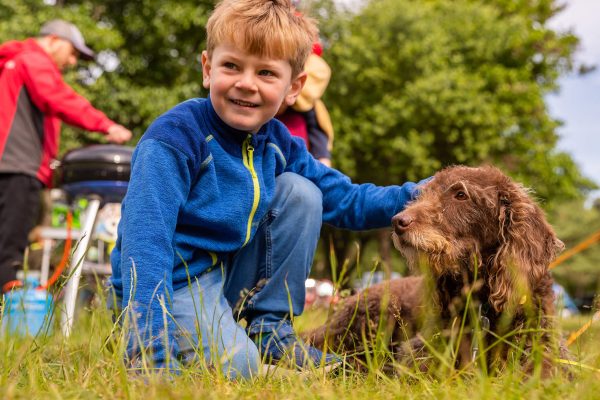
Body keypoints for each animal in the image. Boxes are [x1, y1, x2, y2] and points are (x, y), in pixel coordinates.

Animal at [304, 165, 572, 376]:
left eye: (461, 194)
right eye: (423, 194)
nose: (398, 222)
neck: (481, 298)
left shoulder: (546, 346)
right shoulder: (424, 348)